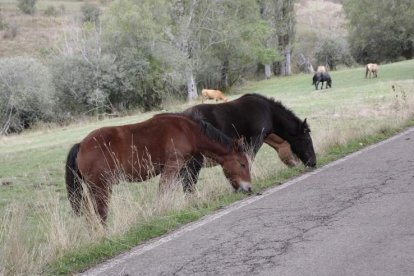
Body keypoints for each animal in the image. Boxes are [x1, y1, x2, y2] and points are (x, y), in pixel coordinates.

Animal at [65, 113, 252, 223]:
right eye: (242, 164)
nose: (249, 188)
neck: (186, 131)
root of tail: (81, 145)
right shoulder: (172, 167)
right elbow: (164, 191)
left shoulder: (180, 168)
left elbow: (184, 187)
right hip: (101, 188)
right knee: (101, 213)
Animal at [180, 94, 316, 193]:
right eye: (307, 140)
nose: (313, 162)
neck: (268, 111)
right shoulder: (256, 138)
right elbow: (248, 159)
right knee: (188, 184)